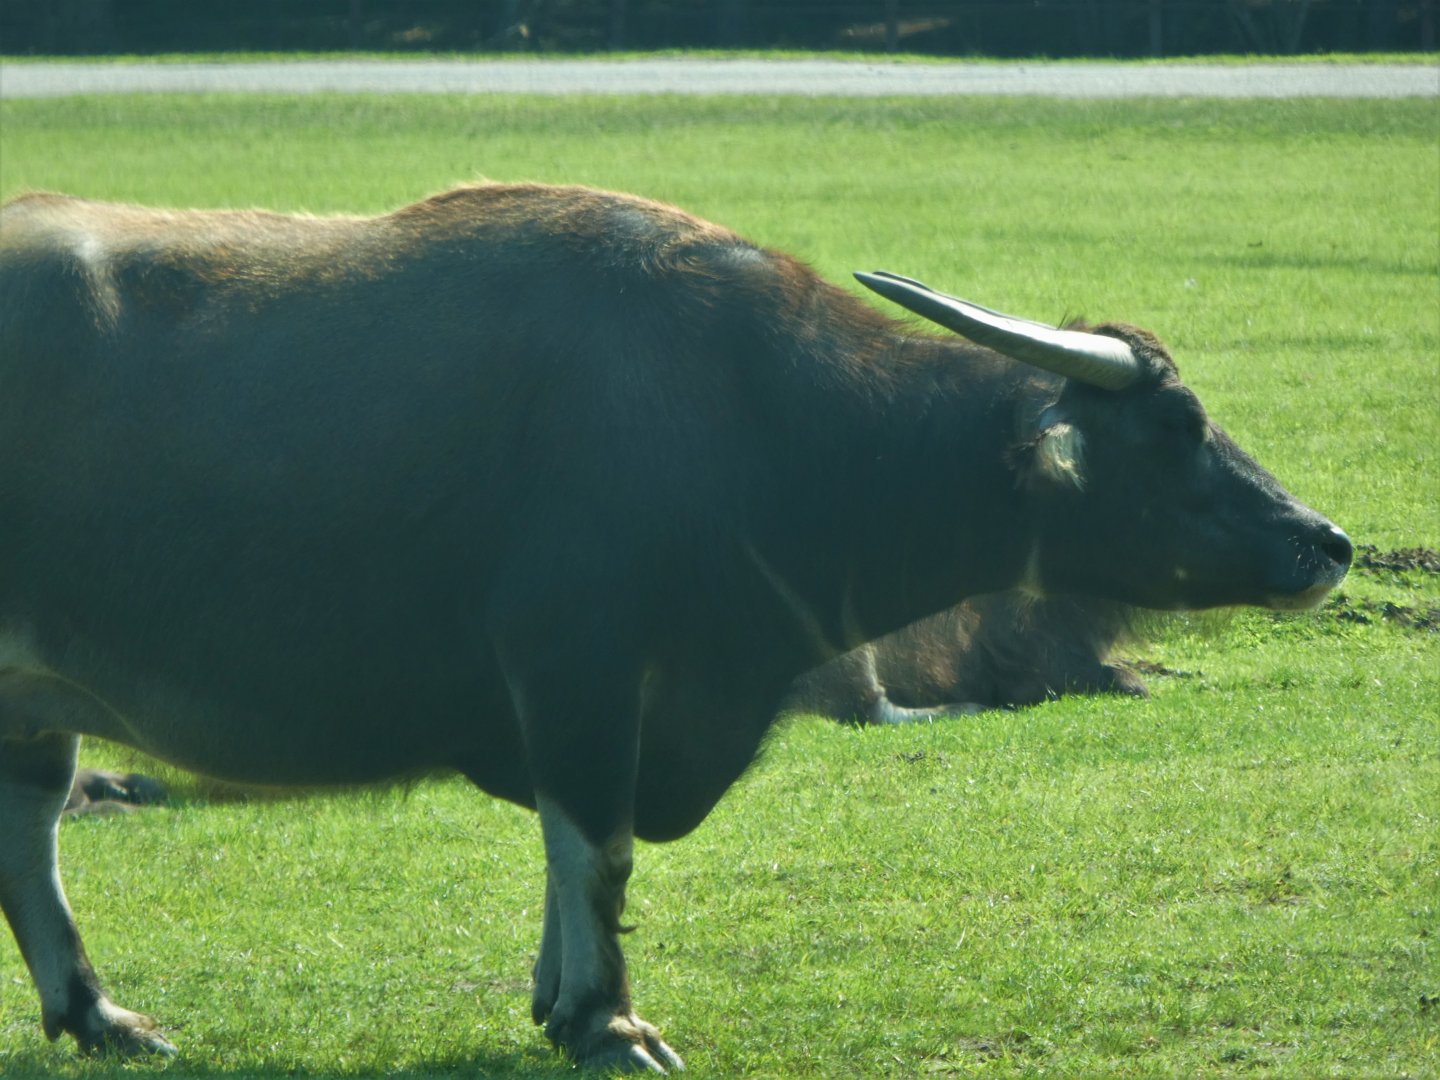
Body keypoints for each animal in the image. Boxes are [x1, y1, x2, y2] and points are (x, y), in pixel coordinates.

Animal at [0, 184, 1350, 1072]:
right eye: (1179, 425)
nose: (1327, 542)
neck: (769, 422)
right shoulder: (579, 670)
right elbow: (597, 850)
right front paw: (608, 1021)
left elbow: (574, 858)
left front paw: (557, 1000)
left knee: (30, 838)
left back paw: (102, 1018)